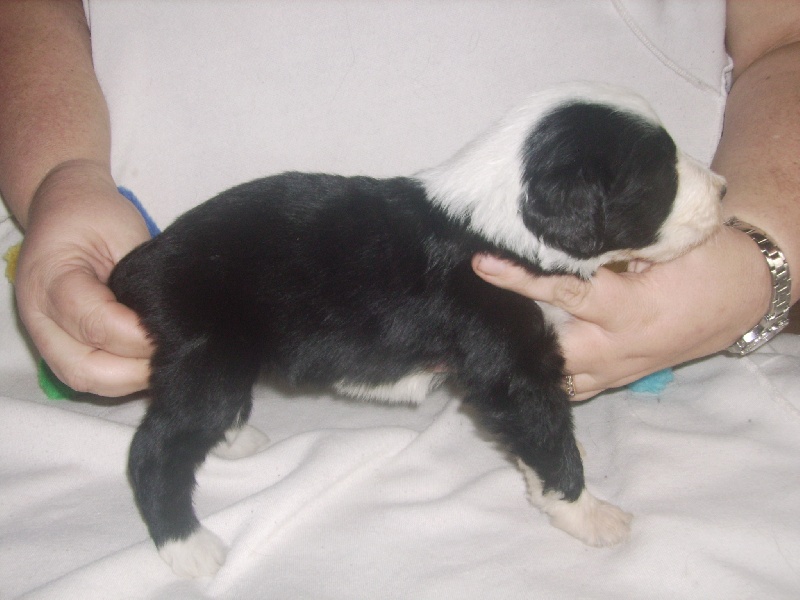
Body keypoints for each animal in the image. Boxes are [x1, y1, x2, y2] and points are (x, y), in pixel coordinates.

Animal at [109, 82, 725, 577]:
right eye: (662, 174)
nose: (722, 190)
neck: (502, 220)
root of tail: (146, 259)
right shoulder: (515, 367)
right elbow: (551, 439)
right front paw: (589, 515)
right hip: (210, 352)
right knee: (155, 448)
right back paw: (188, 547)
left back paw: (237, 439)